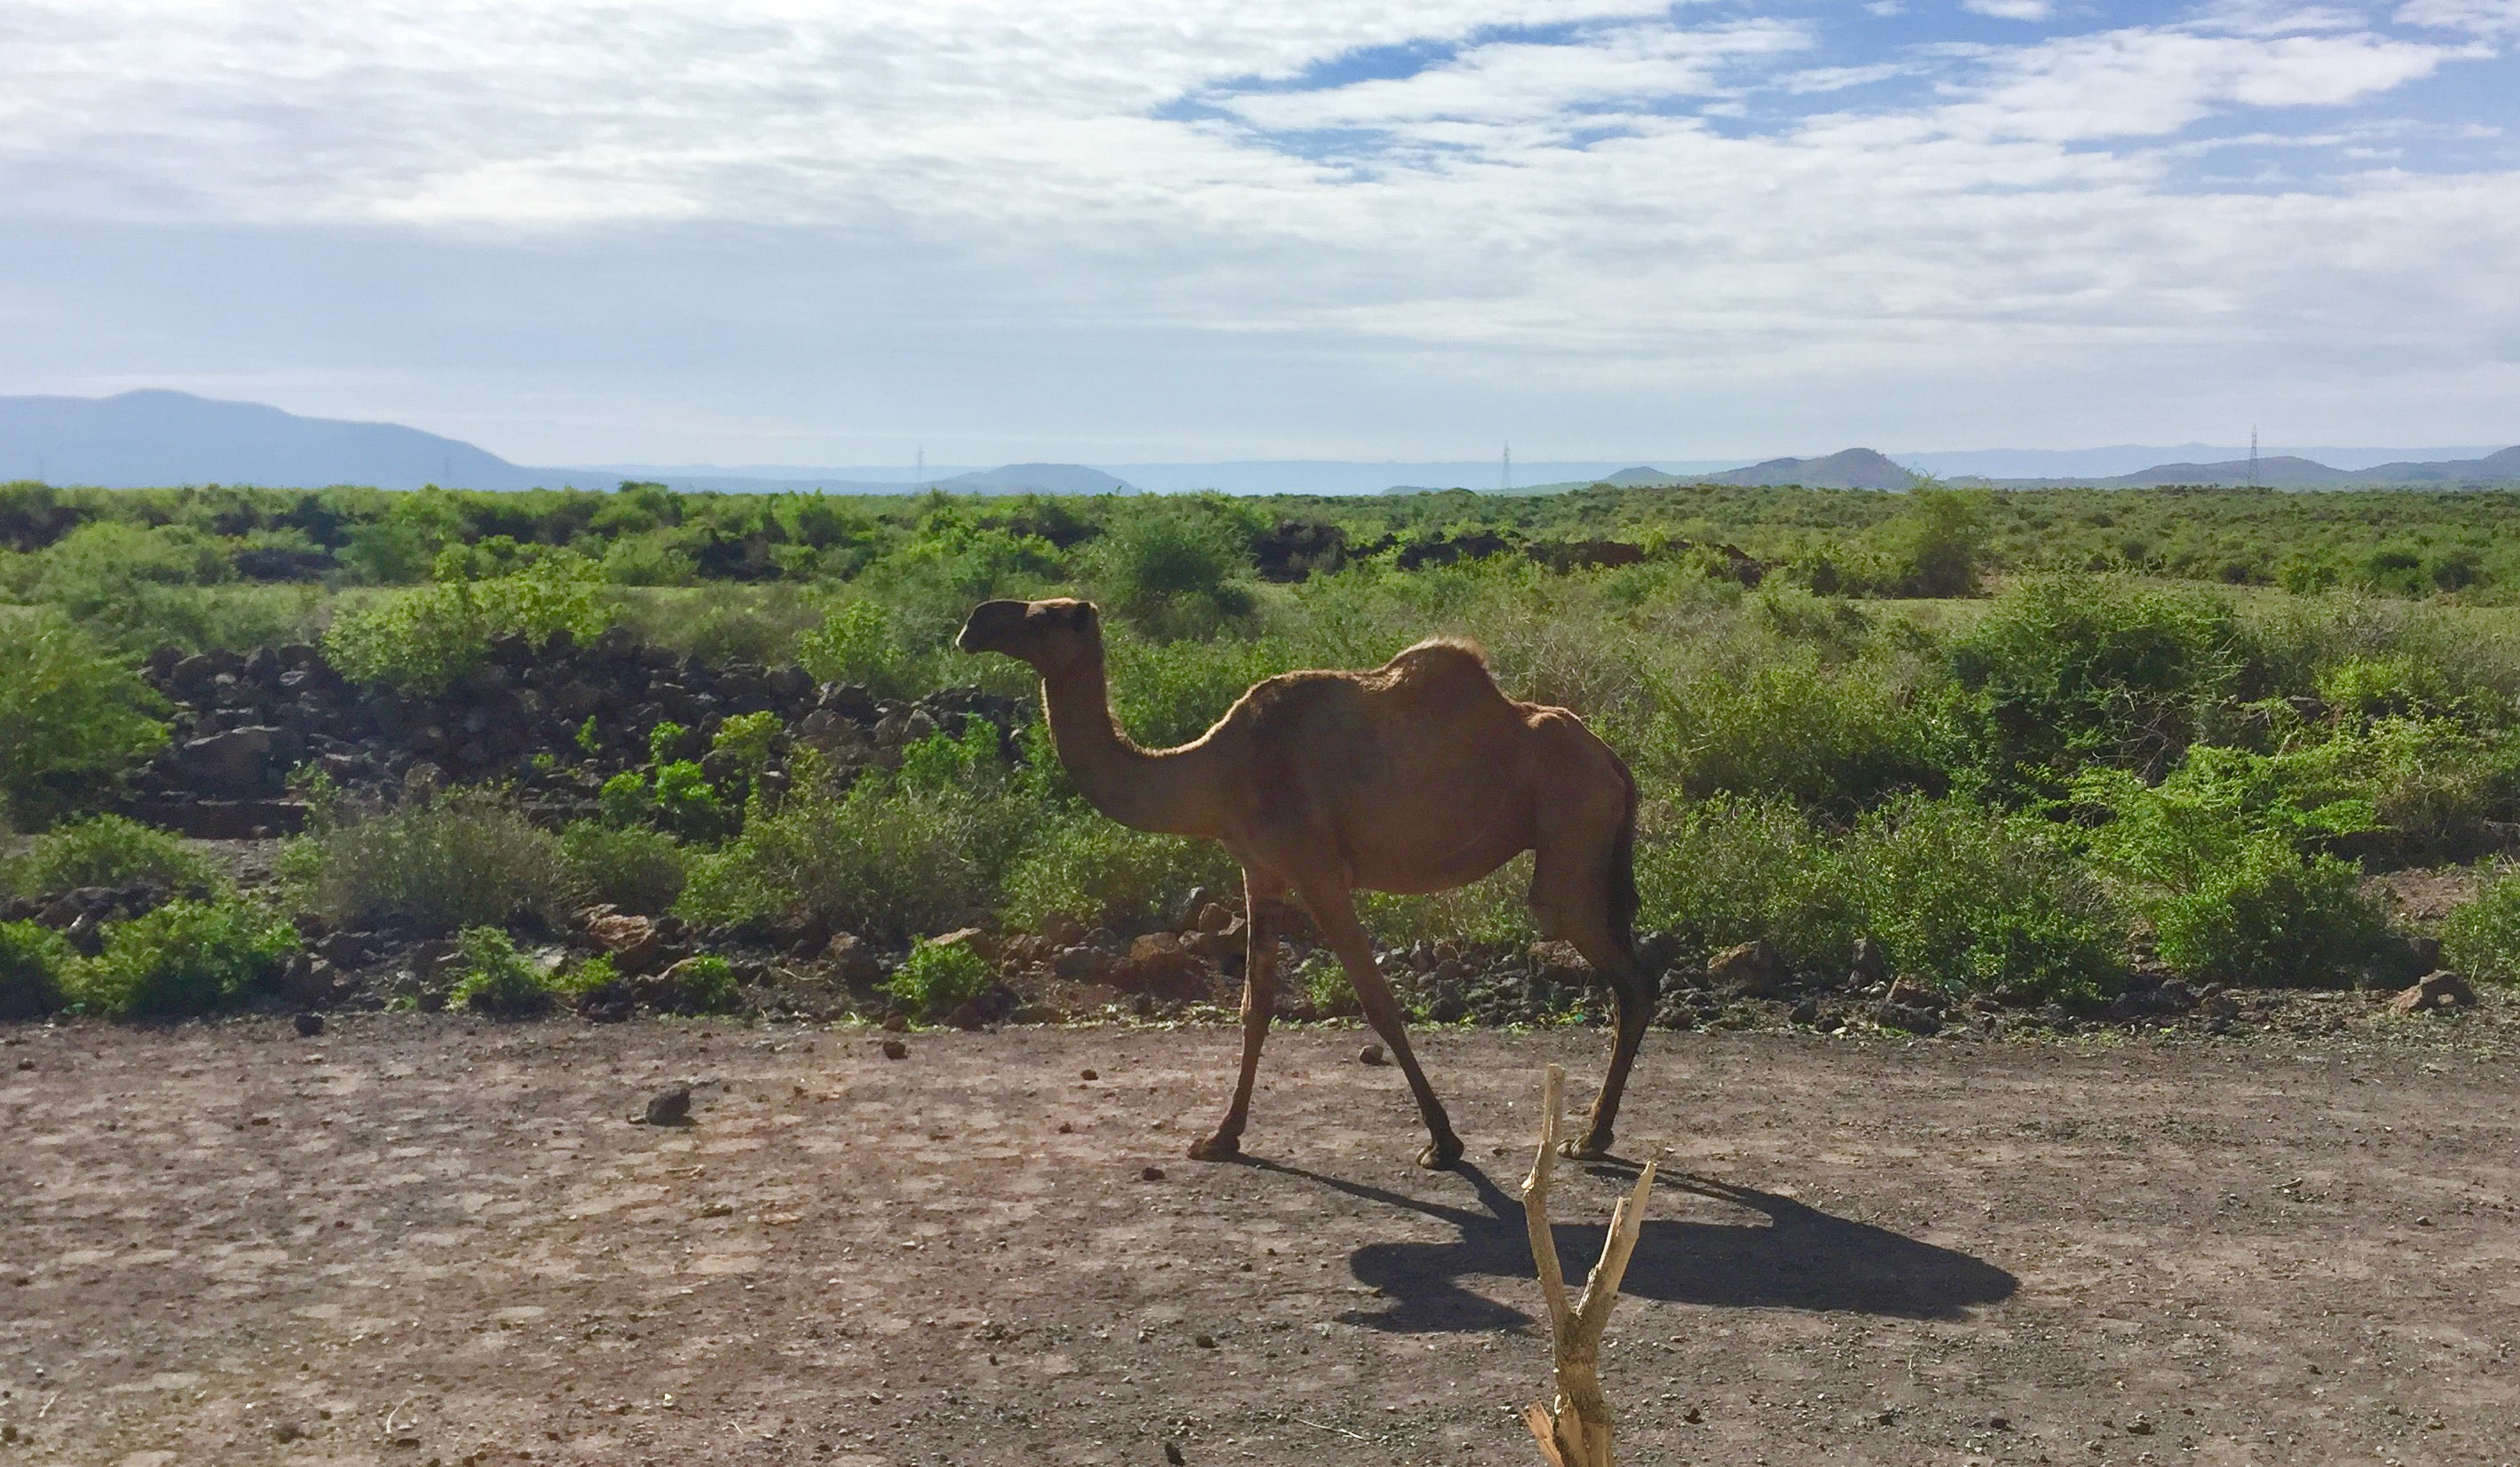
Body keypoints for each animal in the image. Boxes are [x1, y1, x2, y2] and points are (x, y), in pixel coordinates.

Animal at [957, 597, 1653, 1174]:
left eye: (1044, 616)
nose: (974, 624)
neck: (1214, 769)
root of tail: (1612, 759)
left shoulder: (1318, 871)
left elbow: (1378, 1001)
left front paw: (1443, 1142)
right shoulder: (1260, 871)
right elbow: (1255, 1004)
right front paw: (1221, 1136)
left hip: (1571, 825)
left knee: (1616, 967)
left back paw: (1589, 1137)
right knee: (1626, 972)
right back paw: (1595, 1134)